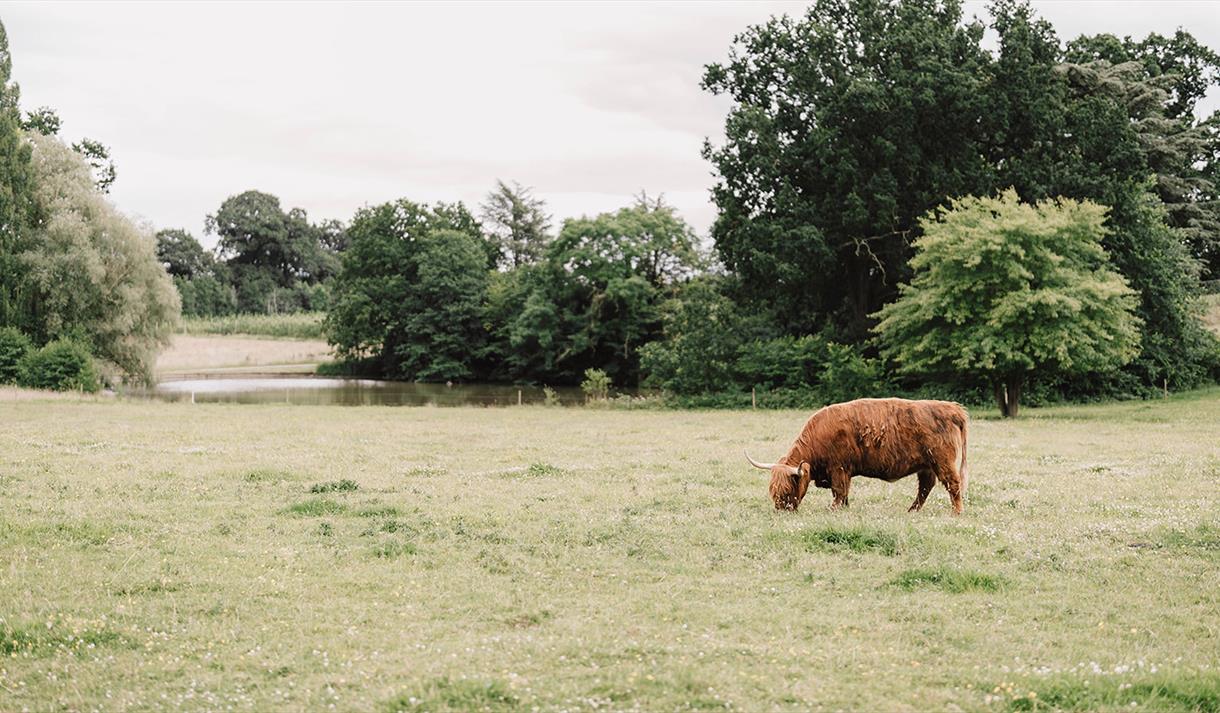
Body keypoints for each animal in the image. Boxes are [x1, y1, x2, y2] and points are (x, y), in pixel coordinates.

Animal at [745, 398, 969, 514]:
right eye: (773, 490)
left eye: (788, 488)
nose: (781, 510)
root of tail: (952, 408)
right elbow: (843, 493)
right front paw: (844, 508)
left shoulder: (839, 468)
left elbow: (839, 491)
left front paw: (834, 509)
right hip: (926, 465)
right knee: (925, 487)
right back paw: (912, 510)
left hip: (942, 461)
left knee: (953, 484)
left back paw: (956, 512)